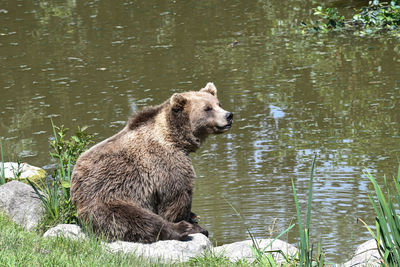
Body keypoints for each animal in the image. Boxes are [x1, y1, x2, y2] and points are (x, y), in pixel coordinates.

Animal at [71, 82, 234, 244]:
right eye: (207, 108)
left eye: (218, 103)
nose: (229, 115)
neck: (175, 137)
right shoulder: (166, 162)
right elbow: (177, 196)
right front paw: (189, 221)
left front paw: (193, 215)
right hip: (106, 197)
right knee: (136, 219)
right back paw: (182, 229)